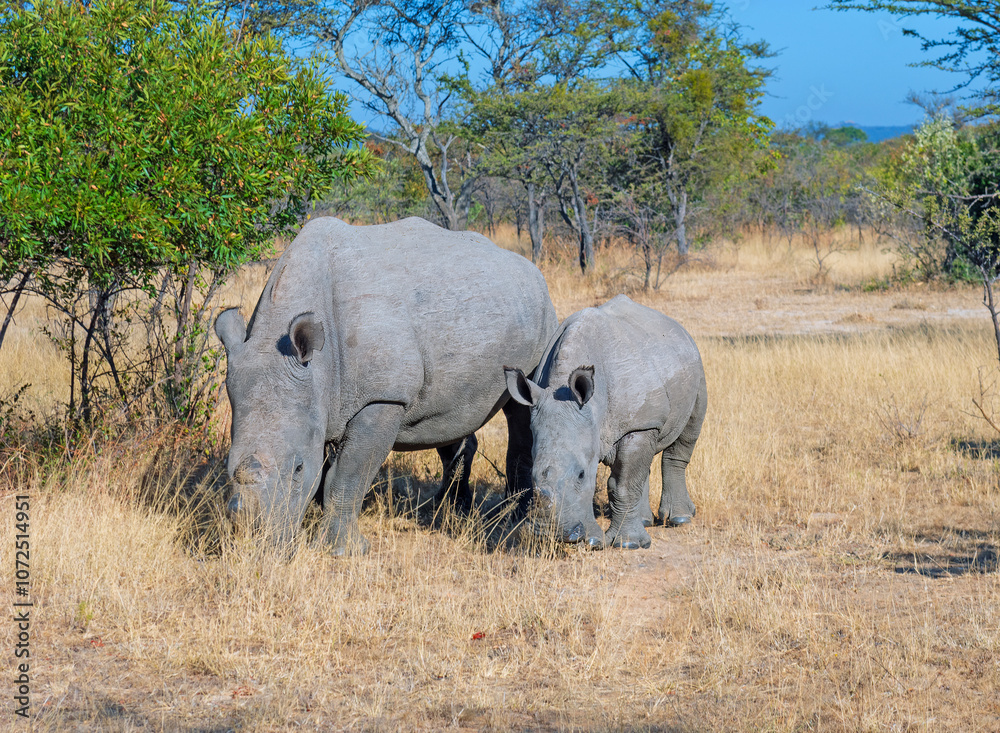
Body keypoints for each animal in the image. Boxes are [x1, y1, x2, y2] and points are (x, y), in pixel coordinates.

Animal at [215, 216, 558, 554]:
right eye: (227, 466)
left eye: (298, 468)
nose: (257, 547)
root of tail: (531, 268)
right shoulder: (319, 398)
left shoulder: (382, 398)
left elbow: (348, 473)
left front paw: (342, 550)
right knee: (450, 416)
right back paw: (448, 511)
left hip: (542, 317)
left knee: (520, 406)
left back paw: (514, 518)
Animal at [504, 295, 706, 550]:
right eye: (533, 476)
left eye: (581, 474)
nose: (548, 533)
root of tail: (679, 328)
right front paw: (594, 541)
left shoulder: (638, 424)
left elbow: (623, 485)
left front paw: (628, 545)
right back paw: (645, 521)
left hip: (695, 368)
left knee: (685, 436)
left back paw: (680, 519)